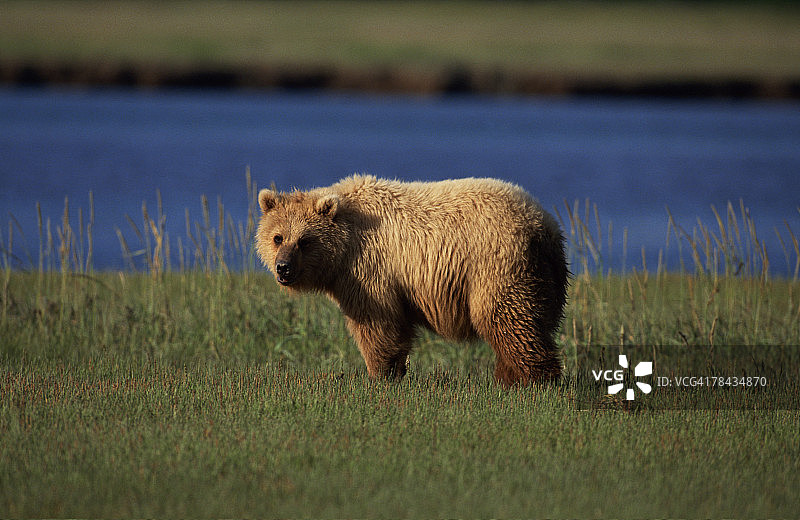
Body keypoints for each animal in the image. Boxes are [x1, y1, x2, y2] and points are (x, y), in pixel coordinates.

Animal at [255, 174, 568, 386]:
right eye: (278, 237)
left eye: (304, 241)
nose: (283, 268)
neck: (345, 248)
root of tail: (543, 225)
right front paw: (393, 372)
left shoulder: (370, 271)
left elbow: (376, 325)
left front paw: (380, 375)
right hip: (546, 276)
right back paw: (509, 377)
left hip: (497, 268)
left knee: (509, 320)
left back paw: (534, 381)